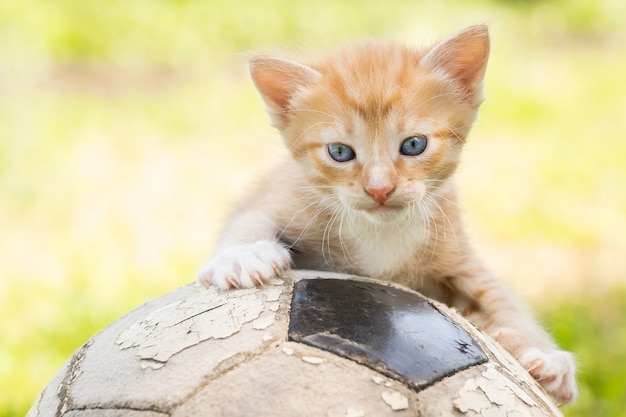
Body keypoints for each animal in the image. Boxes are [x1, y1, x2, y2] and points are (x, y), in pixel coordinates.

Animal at [195, 24, 576, 404]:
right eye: (339, 152)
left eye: (414, 144)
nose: (379, 189)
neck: (382, 233)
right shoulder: (283, 197)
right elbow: (249, 219)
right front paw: (242, 256)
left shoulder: (458, 252)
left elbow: (500, 298)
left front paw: (544, 357)